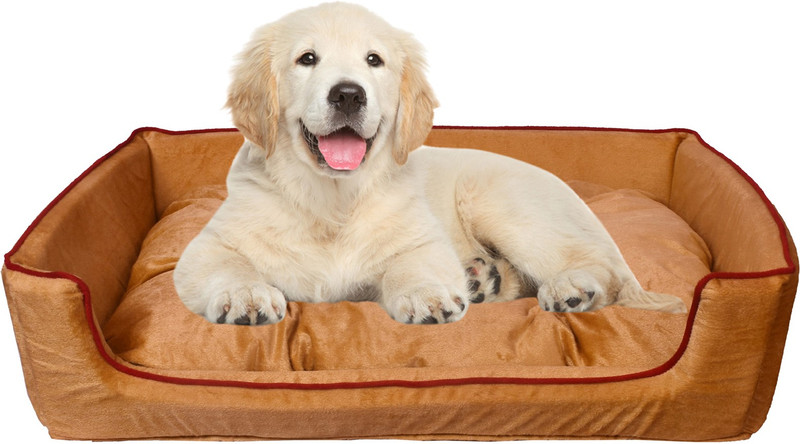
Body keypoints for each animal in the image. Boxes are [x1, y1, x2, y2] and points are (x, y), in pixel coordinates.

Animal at [174, 2, 687, 325]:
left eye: (374, 60)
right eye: (307, 59)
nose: (348, 94)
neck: (333, 201)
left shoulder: (422, 243)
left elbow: (411, 265)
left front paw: (426, 295)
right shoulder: (204, 249)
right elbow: (228, 265)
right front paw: (245, 294)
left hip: (504, 205)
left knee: (603, 271)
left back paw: (571, 289)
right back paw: (485, 279)